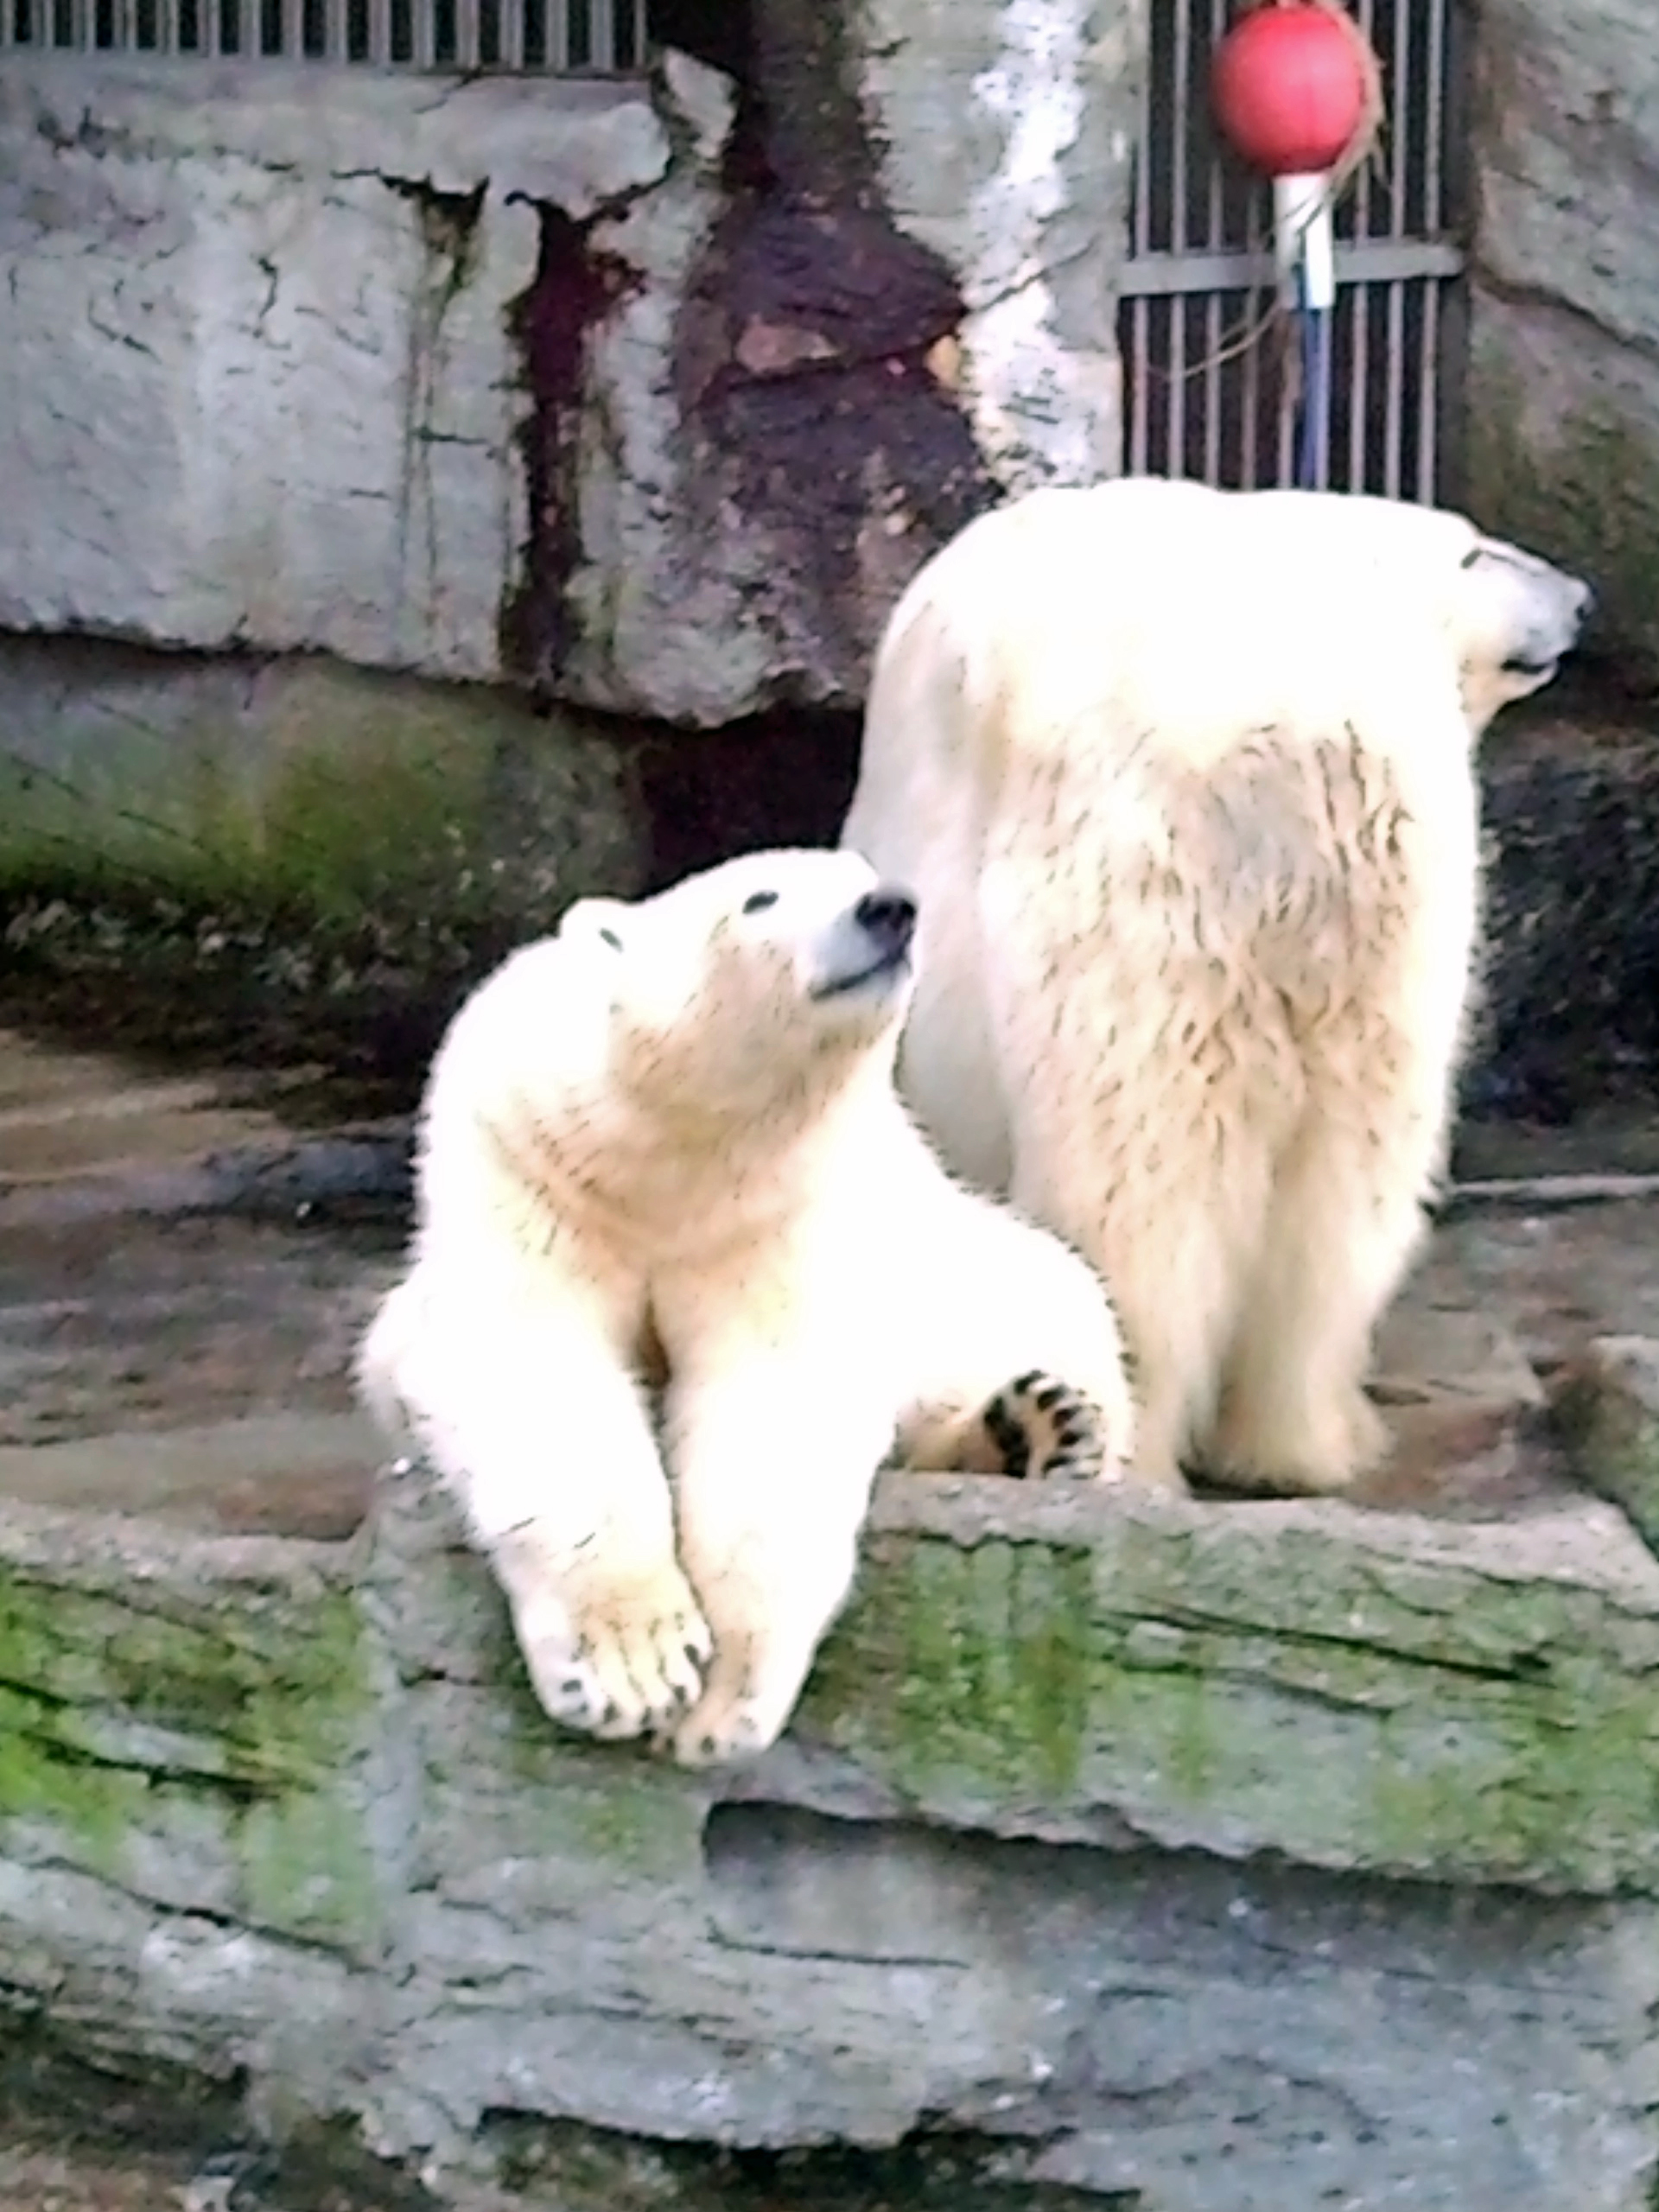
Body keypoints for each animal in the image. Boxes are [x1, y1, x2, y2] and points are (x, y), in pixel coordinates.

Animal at [360, 840, 1141, 1760]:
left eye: (862, 875)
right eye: (760, 897)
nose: (890, 909)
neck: (674, 1150)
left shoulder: (785, 1209)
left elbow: (776, 1402)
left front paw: (717, 1700)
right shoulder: (527, 1164)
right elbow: (532, 1363)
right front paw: (631, 1669)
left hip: (990, 1274)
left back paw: (1049, 1424)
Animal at [844, 475, 1601, 1495]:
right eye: (1475, 551)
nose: (1581, 601)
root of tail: (1308, 738)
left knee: (1140, 1174)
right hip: (1371, 928)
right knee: (1338, 1191)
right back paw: (1300, 1440)